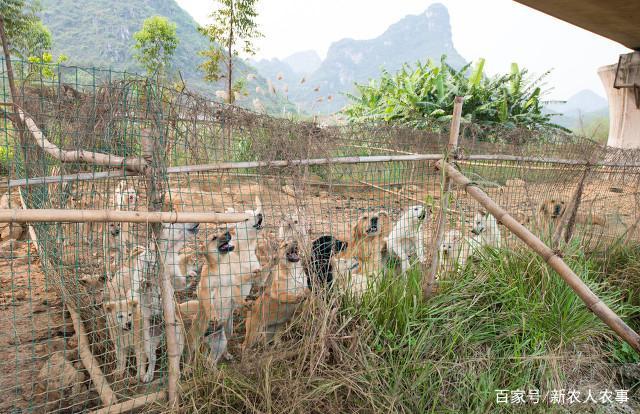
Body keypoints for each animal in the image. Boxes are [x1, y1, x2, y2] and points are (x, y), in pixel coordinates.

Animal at [129, 223, 199, 382]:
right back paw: (148, 374)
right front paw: (144, 283)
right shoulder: (141, 271)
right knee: (152, 358)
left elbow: (180, 282)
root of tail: (161, 333)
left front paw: (191, 276)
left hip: (178, 336)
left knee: (177, 358)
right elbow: (140, 284)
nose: (197, 224)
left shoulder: (173, 275)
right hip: (148, 338)